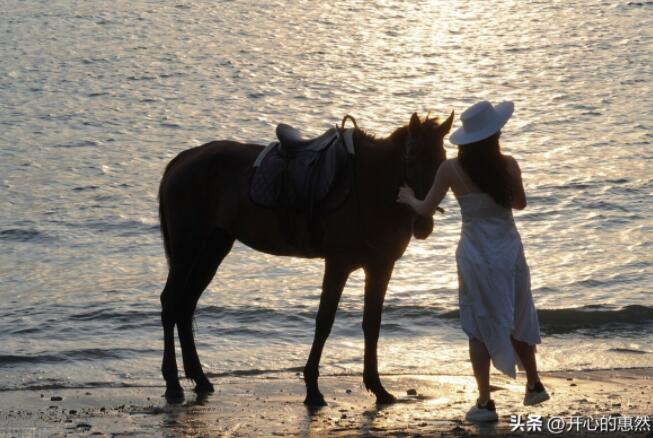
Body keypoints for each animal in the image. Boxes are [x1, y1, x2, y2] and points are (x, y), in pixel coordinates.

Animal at [158, 111, 454, 406]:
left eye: (442, 160)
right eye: (411, 158)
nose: (423, 225)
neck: (370, 185)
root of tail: (184, 159)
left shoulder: (380, 267)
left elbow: (372, 325)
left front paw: (378, 388)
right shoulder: (338, 263)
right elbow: (324, 321)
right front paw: (312, 388)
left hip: (213, 248)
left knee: (186, 305)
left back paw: (200, 378)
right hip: (186, 249)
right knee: (171, 302)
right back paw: (173, 384)